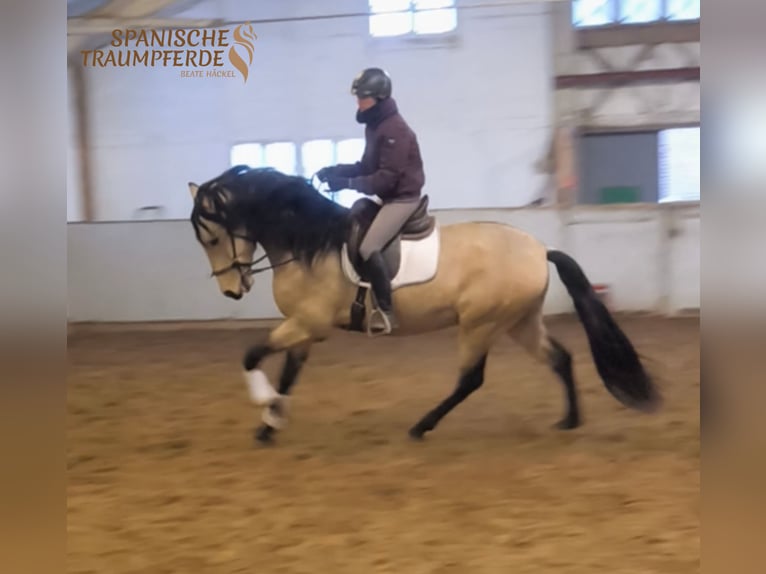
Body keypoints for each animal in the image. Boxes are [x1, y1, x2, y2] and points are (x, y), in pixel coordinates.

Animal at [188, 165, 660, 445]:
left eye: (211, 237)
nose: (232, 291)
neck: (308, 246)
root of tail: (540, 248)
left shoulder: (308, 323)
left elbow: (252, 355)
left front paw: (263, 405)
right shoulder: (302, 327)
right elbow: (289, 373)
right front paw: (269, 424)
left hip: (481, 324)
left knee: (471, 379)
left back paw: (421, 426)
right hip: (519, 322)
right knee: (559, 358)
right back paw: (569, 421)